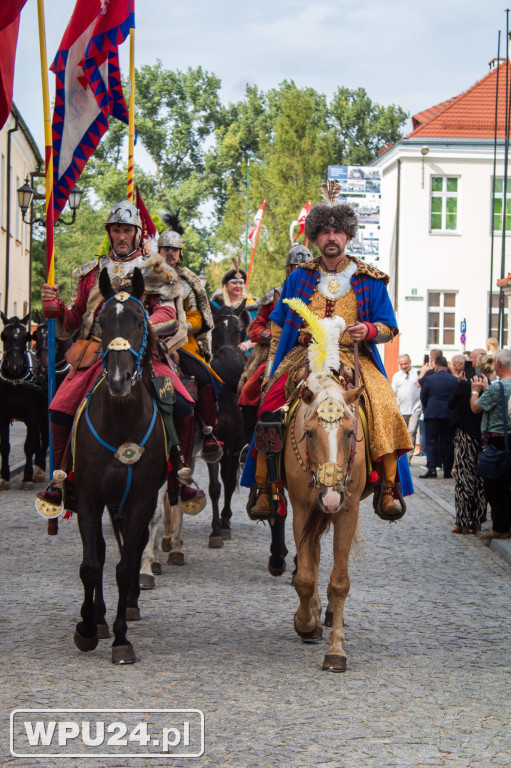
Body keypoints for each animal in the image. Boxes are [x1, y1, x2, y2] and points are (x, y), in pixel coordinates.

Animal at [0, 310, 47, 486]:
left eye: (26, 337)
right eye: (4, 336)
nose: (15, 366)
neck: (15, 381)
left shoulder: (33, 415)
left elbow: (28, 446)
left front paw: (27, 477)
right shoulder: (3, 416)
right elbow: (5, 446)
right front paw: (4, 476)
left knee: (44, 440)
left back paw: (39, 470)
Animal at [286, 368, 366, 668]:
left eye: (350, 433)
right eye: (309, 433)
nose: (331, 496)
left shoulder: (348, 511)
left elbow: (340, 582)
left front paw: (336, 650)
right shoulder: (301, 511)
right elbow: (305, 578)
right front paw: (306, 623)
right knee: (316, 559)